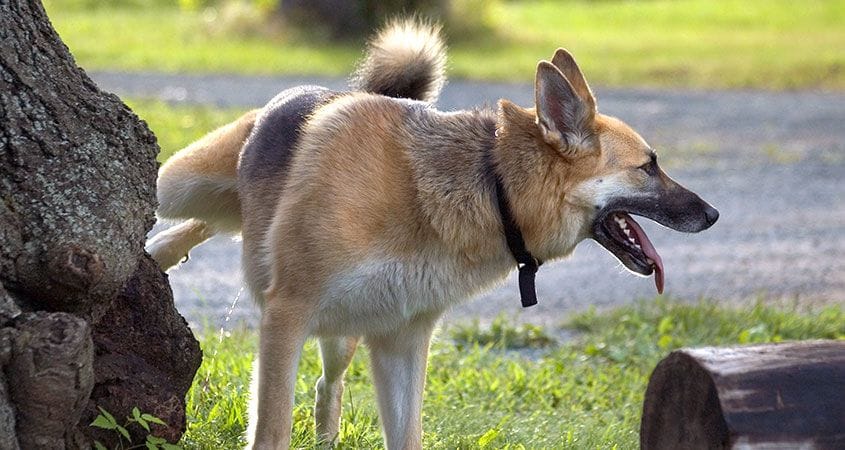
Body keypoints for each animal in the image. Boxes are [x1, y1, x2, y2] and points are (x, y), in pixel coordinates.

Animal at [148, 19, 716, 448]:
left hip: (343, 333)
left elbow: (405, 434)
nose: (712, 215)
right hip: (182, 183)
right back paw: (157, 247)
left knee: (327, 383)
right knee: (191, 209)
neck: (489, 186)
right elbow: (271, 430)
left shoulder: (401, 341)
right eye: (648, 167)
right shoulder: (286, 315)